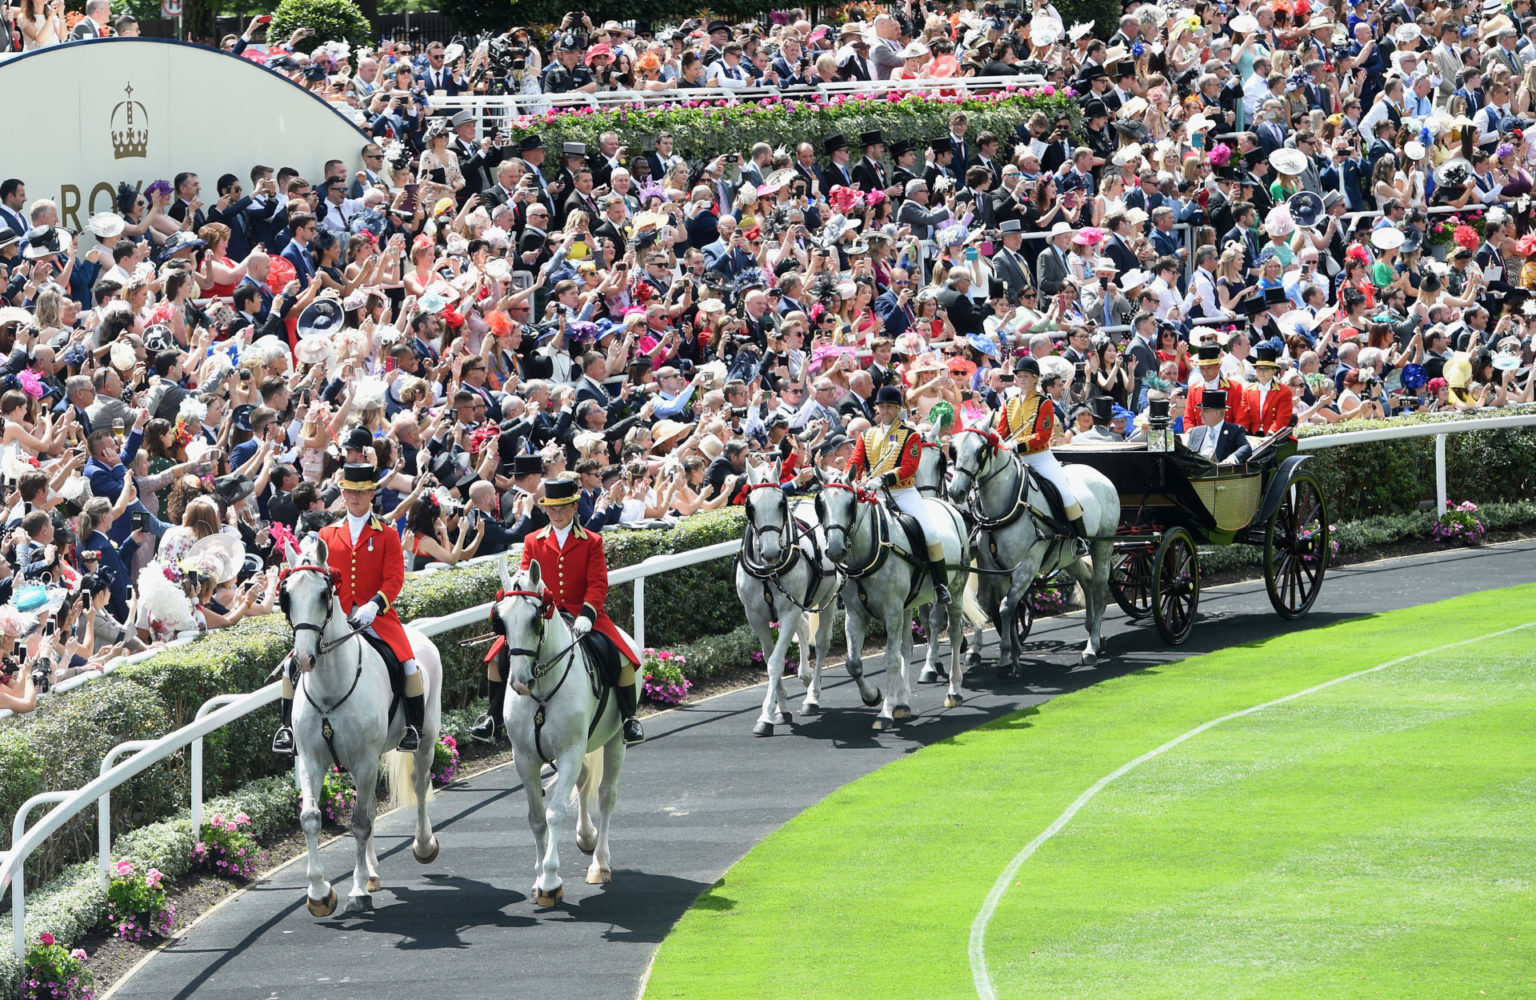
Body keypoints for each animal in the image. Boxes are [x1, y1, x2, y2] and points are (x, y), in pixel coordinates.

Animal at [282, 540, 442, 915]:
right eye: (286, 595)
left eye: (324, 593)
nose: (304, 659)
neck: (330, 687)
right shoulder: (311, 760)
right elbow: (311, 818)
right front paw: (319, 892)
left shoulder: (366, 760)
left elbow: (360, 823)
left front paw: (355, 891)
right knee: (368, 805)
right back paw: (370, 873)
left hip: (425, 739)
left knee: (418, 783)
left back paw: (423, 846)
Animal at [485, 559, 617, 909]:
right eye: (500, 620)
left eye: (535, 619)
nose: (520, 682)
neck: (543, 687)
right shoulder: (525, 758)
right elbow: (536, 817)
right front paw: (538, 877)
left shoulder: (570, 751)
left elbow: (555, 813)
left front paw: (549, 879)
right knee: (584, 783)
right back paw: (586, 836)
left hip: (616, 741)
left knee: (605, 795)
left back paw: (600, 862)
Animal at [740, 485, 884, 734]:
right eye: (750, 506)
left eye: (781, 503)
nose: (771, 552)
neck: (768, 572)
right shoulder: (755, 617)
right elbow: (770, 657)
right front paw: (780, 708)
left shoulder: (789, 610)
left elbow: (776, 662)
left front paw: (766, 716)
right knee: (805, 627)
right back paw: (804, 677)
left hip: (826, 597)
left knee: (822, 641)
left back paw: (812, 696)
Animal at [817, 476, 970, 728]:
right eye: (820, 504)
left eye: (850, 504)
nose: (836, 549)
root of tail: (947, 505)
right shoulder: (855, 614)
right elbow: (853, 663)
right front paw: (873, 696)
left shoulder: (892, 613)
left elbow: (890, 660)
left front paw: (885, 712)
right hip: (908, 606)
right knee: (907, 646)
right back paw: (903, 702)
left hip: (955, 591)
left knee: (955, 634)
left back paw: (954, 691)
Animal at [946, 417, 1118, 675]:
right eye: (954, 449)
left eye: (980, 450)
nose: (956, 492)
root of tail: (1100, 475)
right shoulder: (994, 567)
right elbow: (1006, 605)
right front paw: (1012, 653)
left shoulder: (1028, 563)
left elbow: (1006, 606)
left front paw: (1007, 655)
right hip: (1067, 555)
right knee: (1087, 580)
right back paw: (1090, 632)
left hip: (1102, 548)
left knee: (1099, 590)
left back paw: (1091, 646)